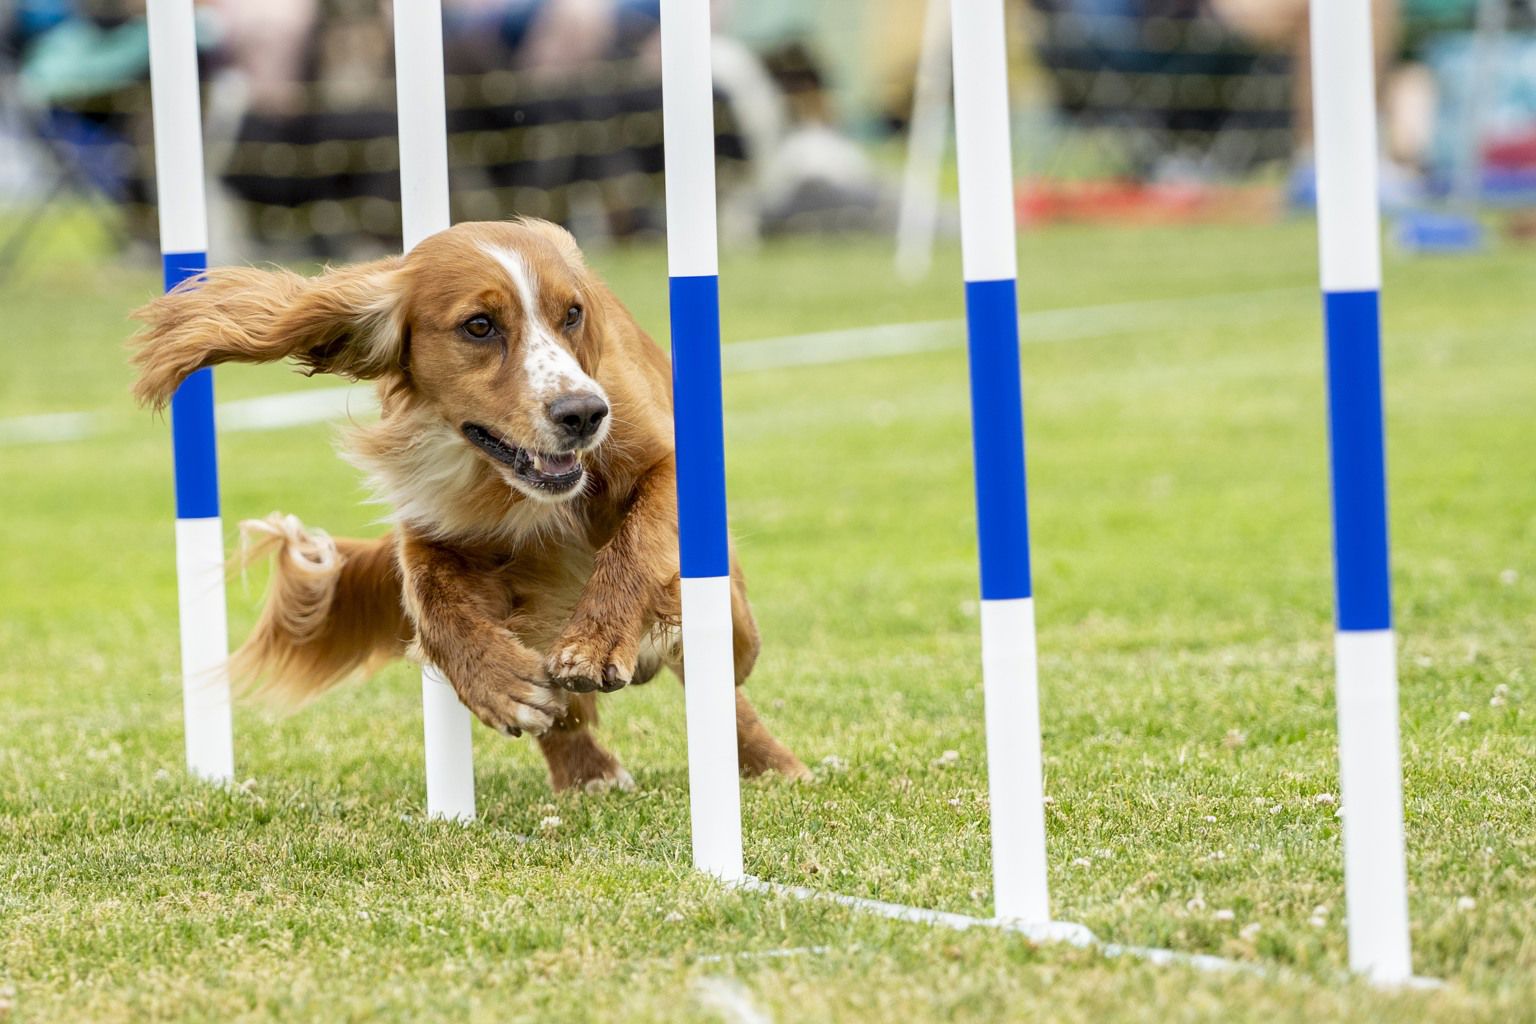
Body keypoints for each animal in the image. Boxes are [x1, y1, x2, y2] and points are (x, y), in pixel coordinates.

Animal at [129, 216, 817, 792]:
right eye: (479, 326)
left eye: (573, 314)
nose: (584, 414)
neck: (502, 477)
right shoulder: (426, 515)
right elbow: (432, 598)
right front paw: (501, 683)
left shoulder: (666, 457)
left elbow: (639, 539)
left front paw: (598, 642)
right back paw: (587, 772)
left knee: (730, 666)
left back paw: (770, 761)